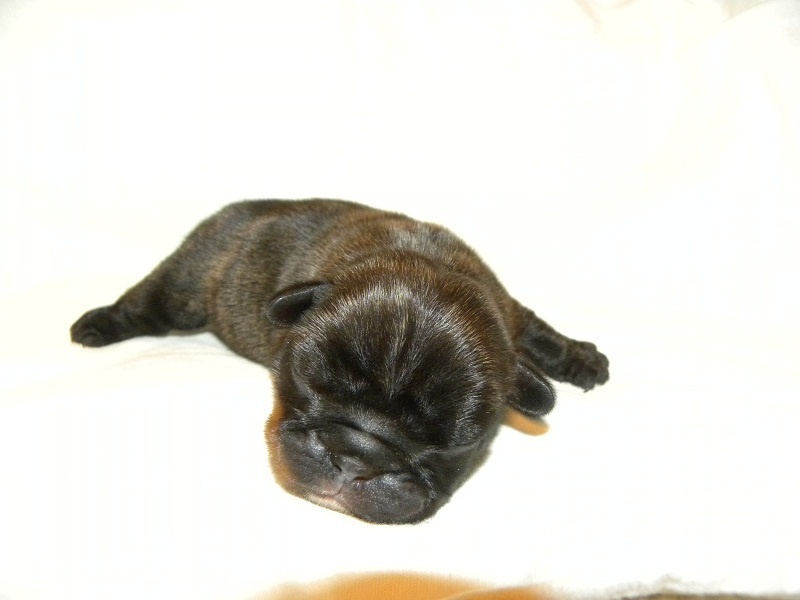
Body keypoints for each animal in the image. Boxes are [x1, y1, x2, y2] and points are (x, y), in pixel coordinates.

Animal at [70, 199, 609, 524]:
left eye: (453, 442)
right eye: (310, 380)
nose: (354, 461)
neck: (428, 266)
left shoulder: (513, 314)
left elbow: (541, 336)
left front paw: (581, 359)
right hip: (189, 281)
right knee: (147, 302)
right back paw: (98, 324)